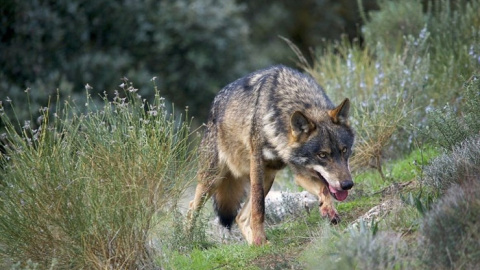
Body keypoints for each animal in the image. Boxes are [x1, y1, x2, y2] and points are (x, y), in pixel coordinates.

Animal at [188, 65, 356, 245]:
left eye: (344, 150)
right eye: (322, 155)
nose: (347, 184)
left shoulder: (300, 172)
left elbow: (324, 188)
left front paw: (328, 210)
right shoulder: (257, 164)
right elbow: (259, 208)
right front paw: (259, 238)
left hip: (267, 178)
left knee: (240, 217)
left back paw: (255, 245)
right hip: (213, 180)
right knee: (192, 208)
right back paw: (187, 241)